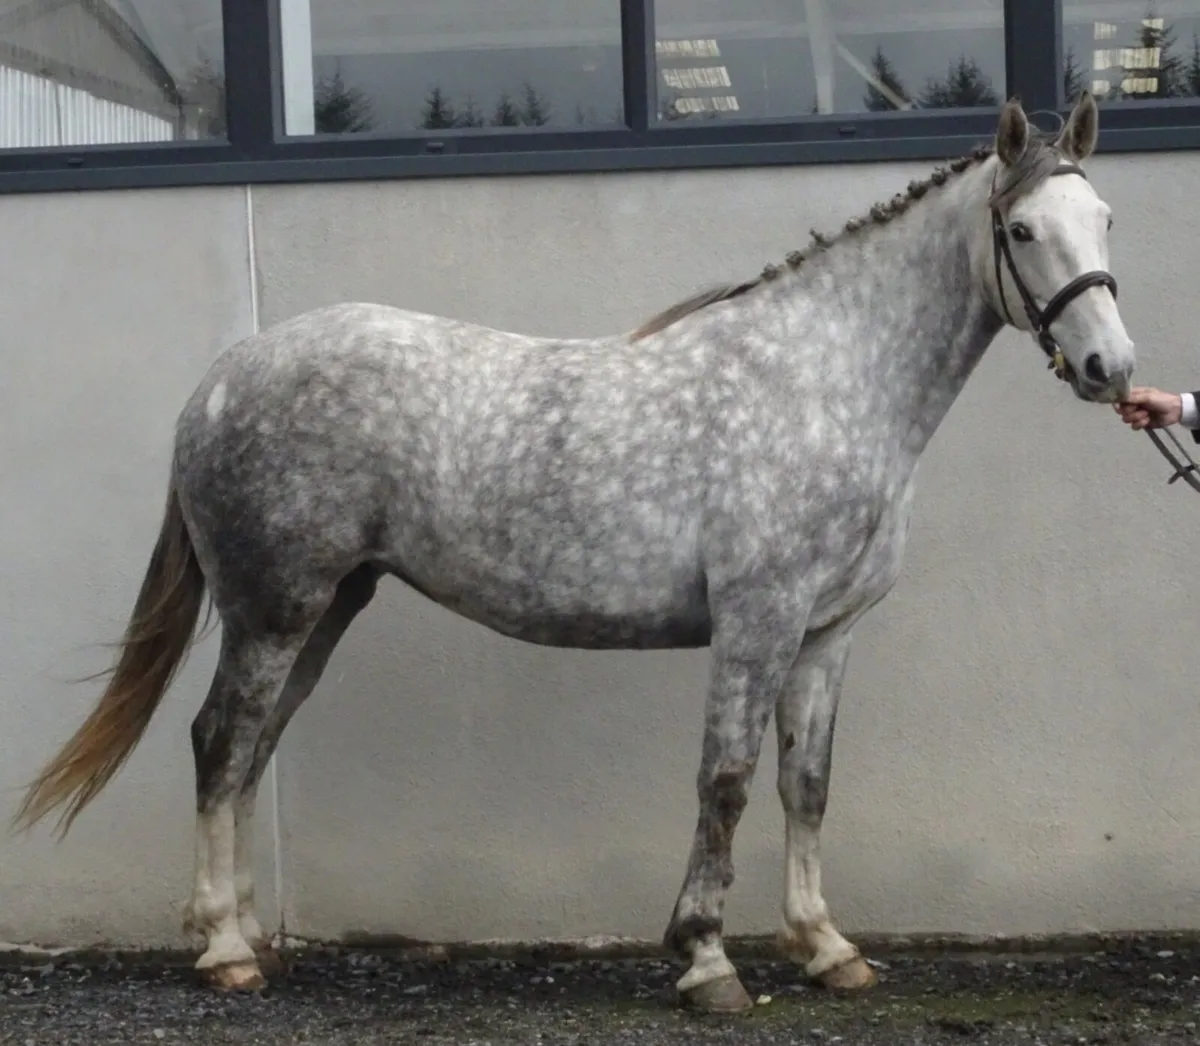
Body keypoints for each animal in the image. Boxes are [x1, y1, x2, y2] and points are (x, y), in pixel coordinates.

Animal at [11, 93, 1133, 1012]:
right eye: (1023, 228)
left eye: (1107, 220)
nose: (1108, 367)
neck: (823, 379)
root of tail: (224, 375)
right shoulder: (756, 621)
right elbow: (725, 780)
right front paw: (706, 959)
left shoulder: (826, 634)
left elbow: (806, 786)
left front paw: (826, 947)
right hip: (273, 608)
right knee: (218, 740)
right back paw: (223, 951)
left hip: (327, 607)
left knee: (253, 748)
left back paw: (244, 931)